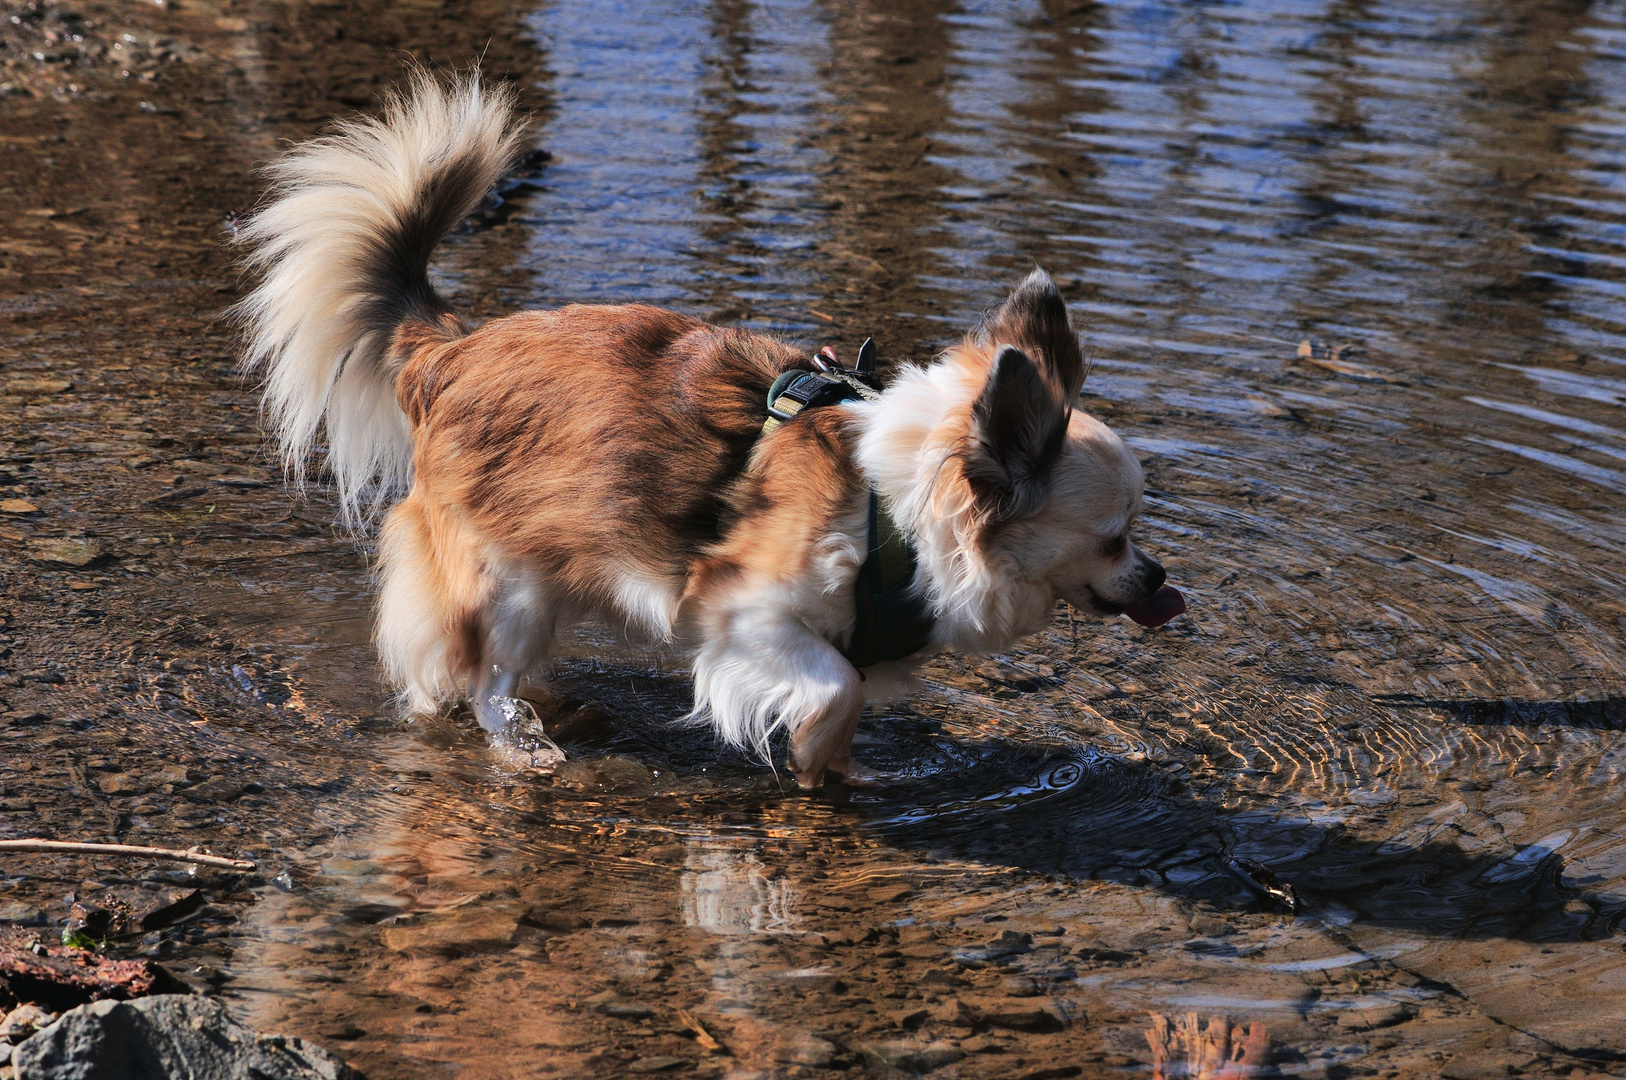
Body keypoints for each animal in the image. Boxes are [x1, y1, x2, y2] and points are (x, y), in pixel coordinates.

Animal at [235, 71, 1183, 790]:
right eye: (1114, 536)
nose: (1161, 577)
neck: (902, 513)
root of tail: (451, 346)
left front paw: (840, 773)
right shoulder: (741, 611)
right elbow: (835, 686)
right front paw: (809, 754)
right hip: (502, 580)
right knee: (474, 679)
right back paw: (522, 738)